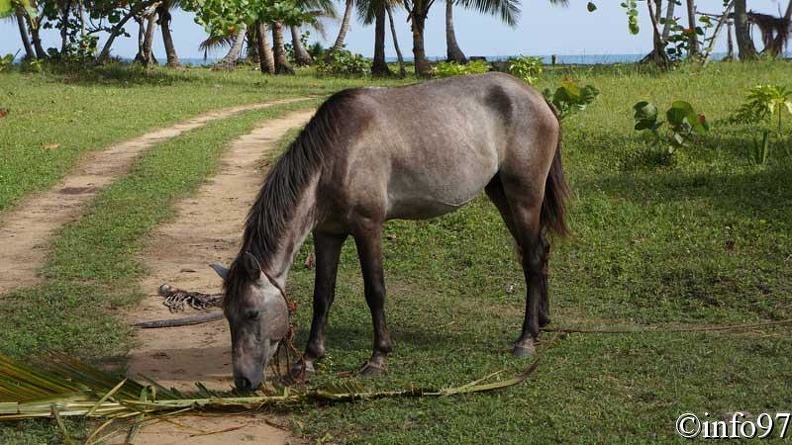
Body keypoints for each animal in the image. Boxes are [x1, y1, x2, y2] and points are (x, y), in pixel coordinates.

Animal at [212, 71, 568, 390]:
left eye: (252, 313)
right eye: (227, 315)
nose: (243, 382)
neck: (337, 155)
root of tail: (539, 100)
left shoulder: (368, 227)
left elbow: (375, 291)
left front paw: (377, 358)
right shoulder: (327, 234)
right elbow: (322, 295)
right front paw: (309, 359)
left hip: (524, 197)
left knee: (532, 259)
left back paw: (526, 339)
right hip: (501, 193)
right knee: (539, 251)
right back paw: (543, 321)